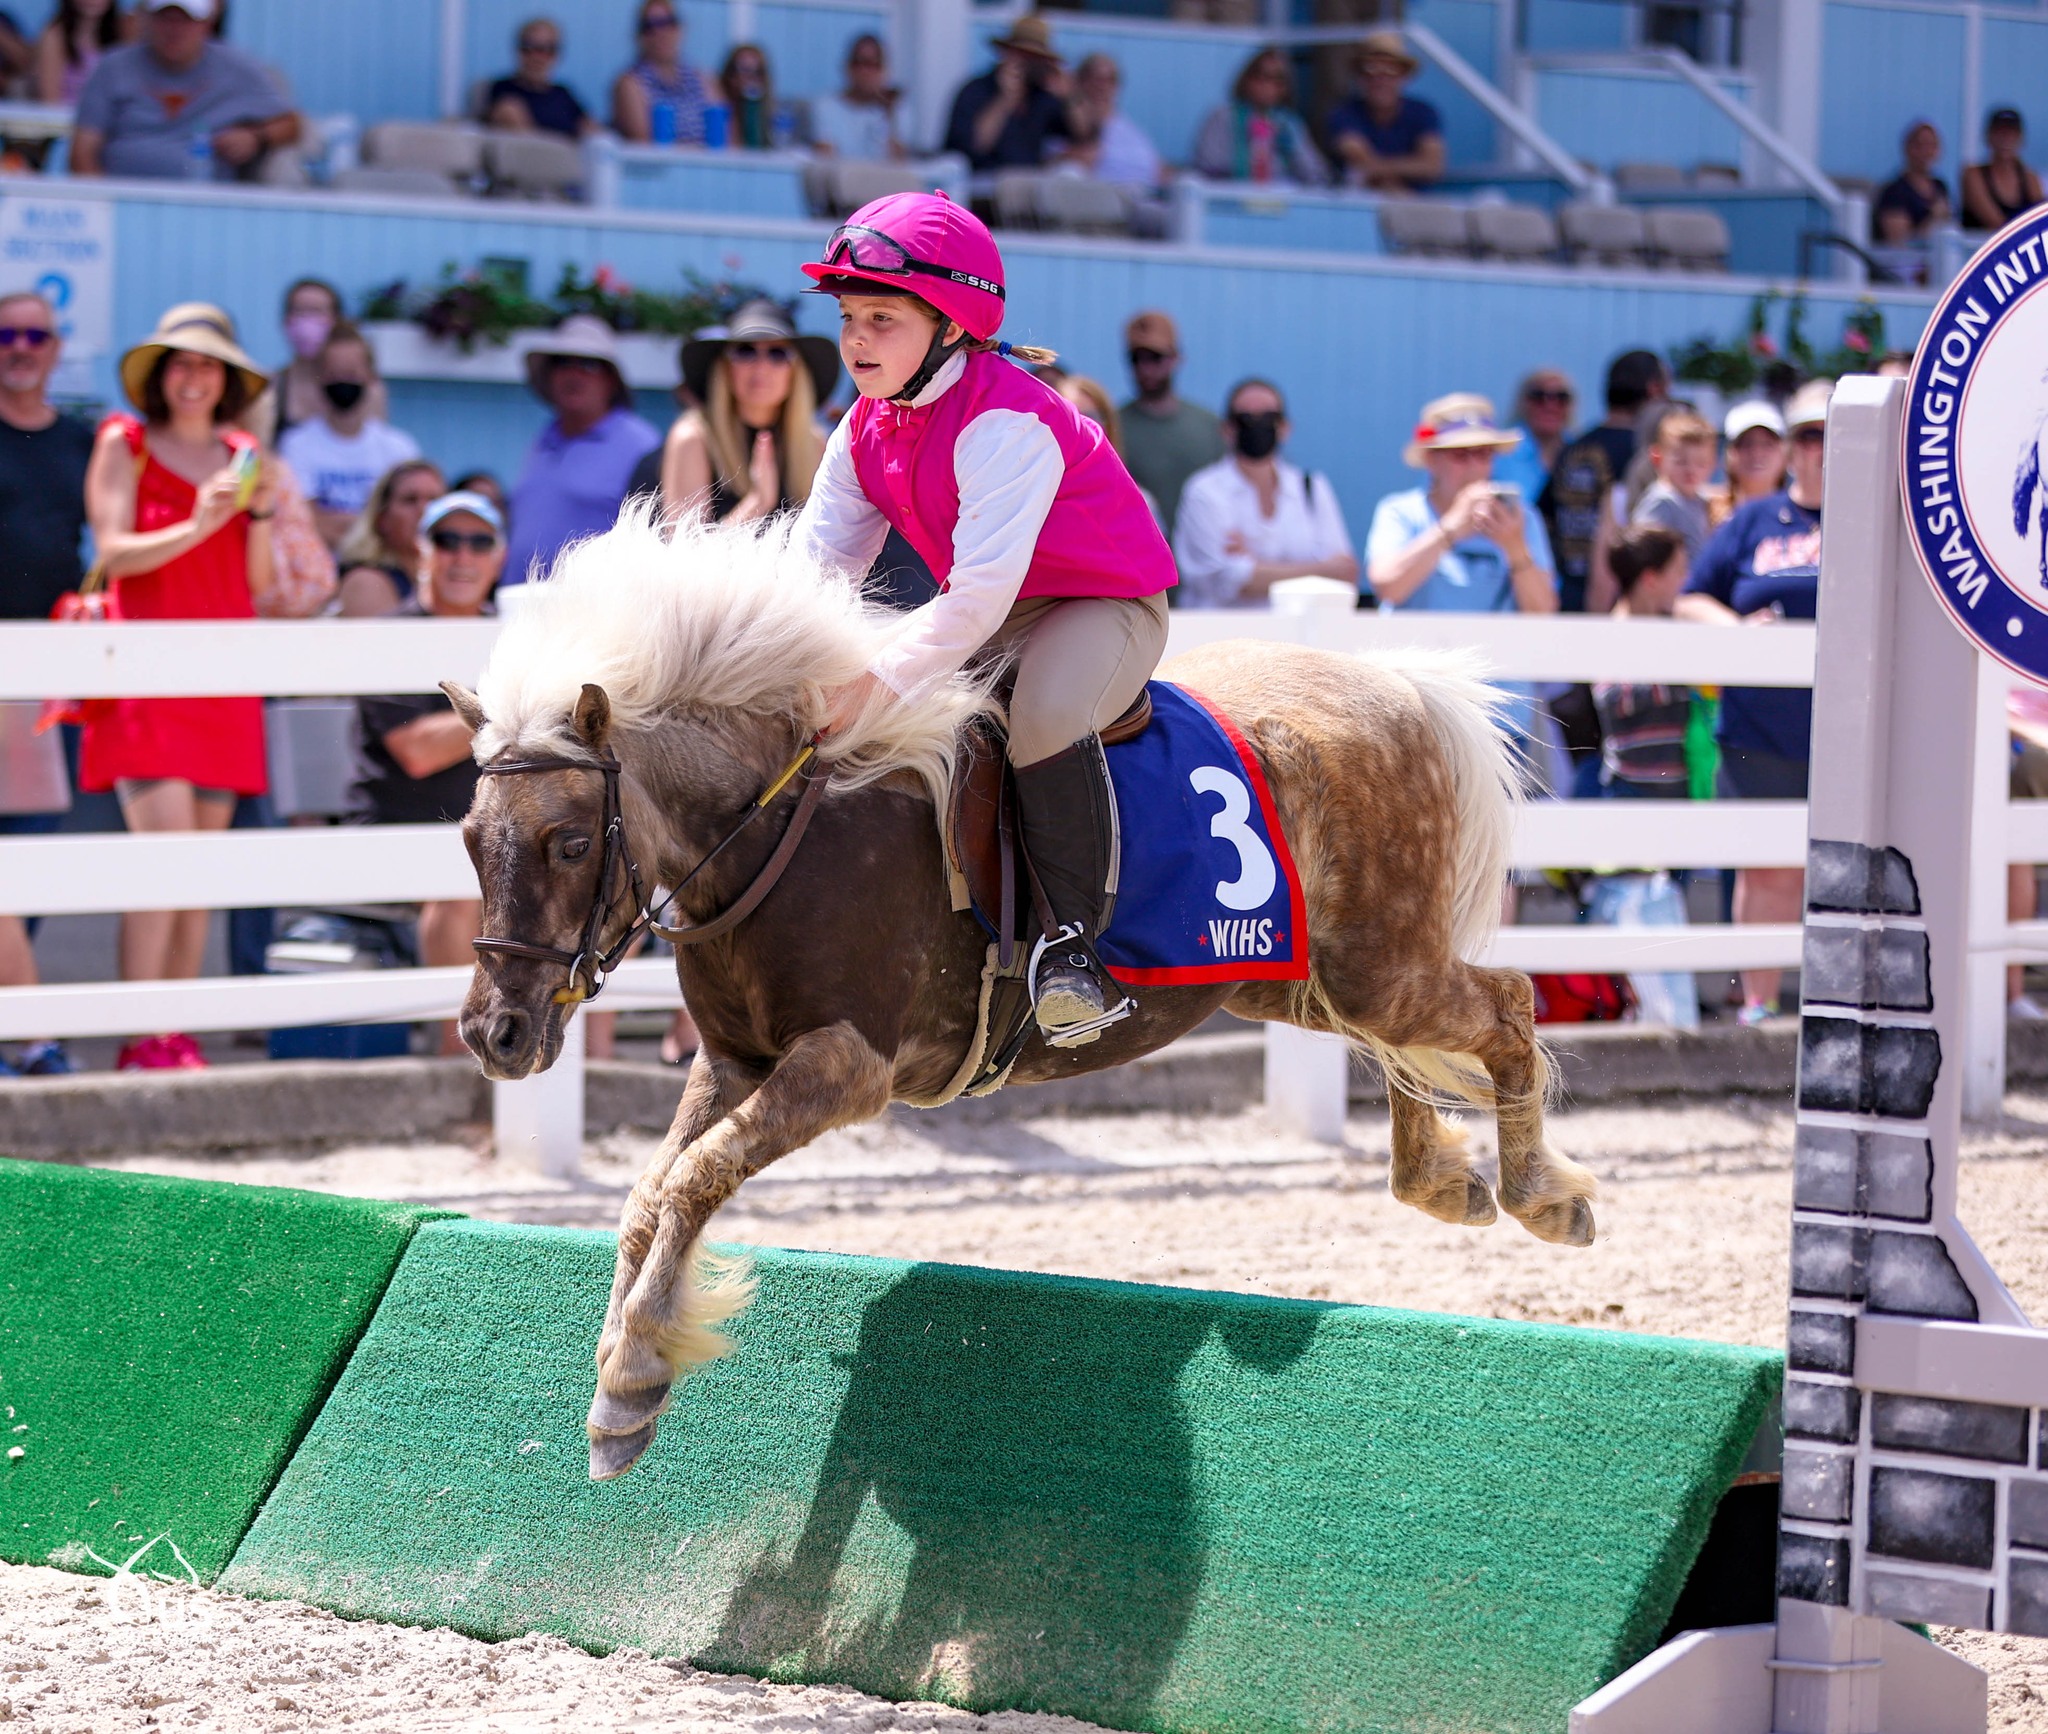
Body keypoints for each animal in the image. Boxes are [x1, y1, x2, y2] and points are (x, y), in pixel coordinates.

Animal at [444, 509, 1596, 1481]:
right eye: (466, 837)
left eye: (567, 841)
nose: (496, 1034)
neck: (783, 826)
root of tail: (1399, 685)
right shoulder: (735, 1060)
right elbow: (653, 1191)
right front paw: (620, 1368)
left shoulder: (844, 1067)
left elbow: (692, 1179)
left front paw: (632, 1380)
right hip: (1300, 981)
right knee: (1411, 1041)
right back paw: (1444, 1179)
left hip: (1373, 967)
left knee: (1505, 1004)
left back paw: (1543, 1193)